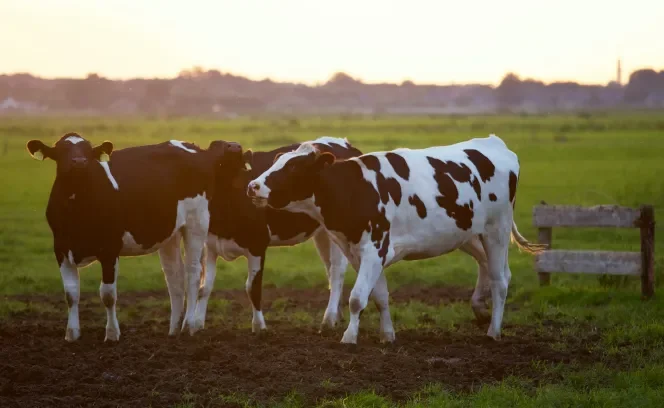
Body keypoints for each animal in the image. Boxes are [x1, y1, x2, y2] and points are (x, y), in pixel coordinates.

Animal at [26, 133, 243, 342]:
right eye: (62, 151)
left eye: (88, 151)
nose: (79, 162)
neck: (77, 208)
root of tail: (195, 148)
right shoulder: (61, 248)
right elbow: (71, 294)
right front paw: (72, 334)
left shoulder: (109, 249)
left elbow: (108, 294)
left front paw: (112, 334)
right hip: (169, 233)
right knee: (175, 277)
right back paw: (173, 330)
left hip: (196, 223)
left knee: (193, 273)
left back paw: (188, 325)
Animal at [193, 136, 363, 333]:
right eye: (215, 145)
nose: (234, 146)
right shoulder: (210, 246)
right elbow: (204, 287)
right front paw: (197, 324)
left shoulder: (257, 245)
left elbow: (253, 287)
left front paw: (259, 326)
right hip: (322, 233)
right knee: (329, 269)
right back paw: (337, 315)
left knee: (336, 272)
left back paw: (328, 319)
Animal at [246, 134, 547, 344]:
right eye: (276, 161)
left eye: (294, 167)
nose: (253, 186)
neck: (354, 188)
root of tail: (494, 143)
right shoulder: (362, 252)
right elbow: (378, 296)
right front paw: (387, 335)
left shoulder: (374, 249)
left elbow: (357, 298)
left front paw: (349, 337)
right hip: (468, 234)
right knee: (487, 266)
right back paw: (480, 308)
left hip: (496, 230)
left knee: (501, 280)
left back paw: (493, 330)